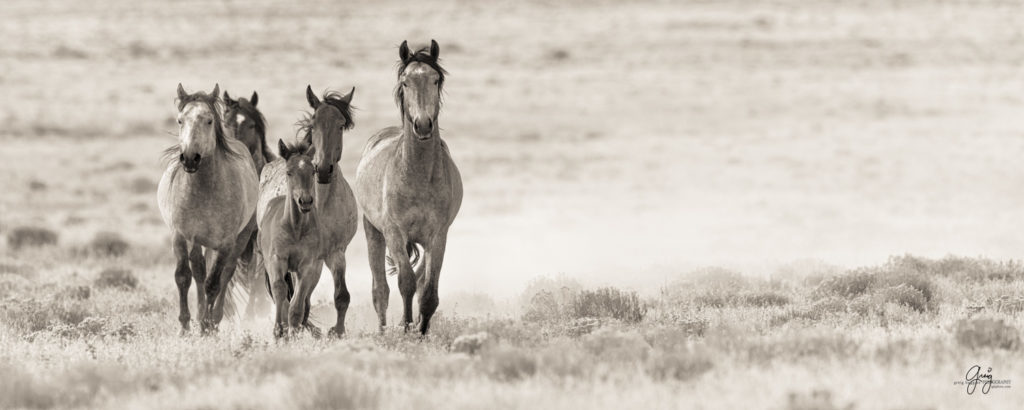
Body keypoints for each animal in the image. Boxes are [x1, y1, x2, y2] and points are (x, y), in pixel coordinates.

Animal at [158, 82, 260, 332]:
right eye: (180, 120)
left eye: (209, 120)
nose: (190, 158)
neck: (203, 191)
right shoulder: (180, 236)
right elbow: (183, 277)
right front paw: (185, 326)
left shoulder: (225, 244)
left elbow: (214, 283)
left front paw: (207, 326)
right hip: (198, 241)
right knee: (198, 271)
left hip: (240, 238)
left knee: (225, 274)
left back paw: (214, 318)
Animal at [256, 139, 319, 338]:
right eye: (289, 172)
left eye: (313, 171)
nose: (305, 201)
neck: (295, 229)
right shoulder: (277, 260)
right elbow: (280, 290)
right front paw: (278, 331)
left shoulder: (306, 266)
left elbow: (298, 302)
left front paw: (293, 331)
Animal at [354, 40, 462, 336]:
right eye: (405, 82)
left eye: (435, 79)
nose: (423, 124)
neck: (418, 176)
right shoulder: (394, 233)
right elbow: (405, 283)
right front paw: (405, 328)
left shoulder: (438, 236)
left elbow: (428, 292)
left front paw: (421, 332)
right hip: (373, 232)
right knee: (380, 289)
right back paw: (382, 331)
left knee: (421, 277)